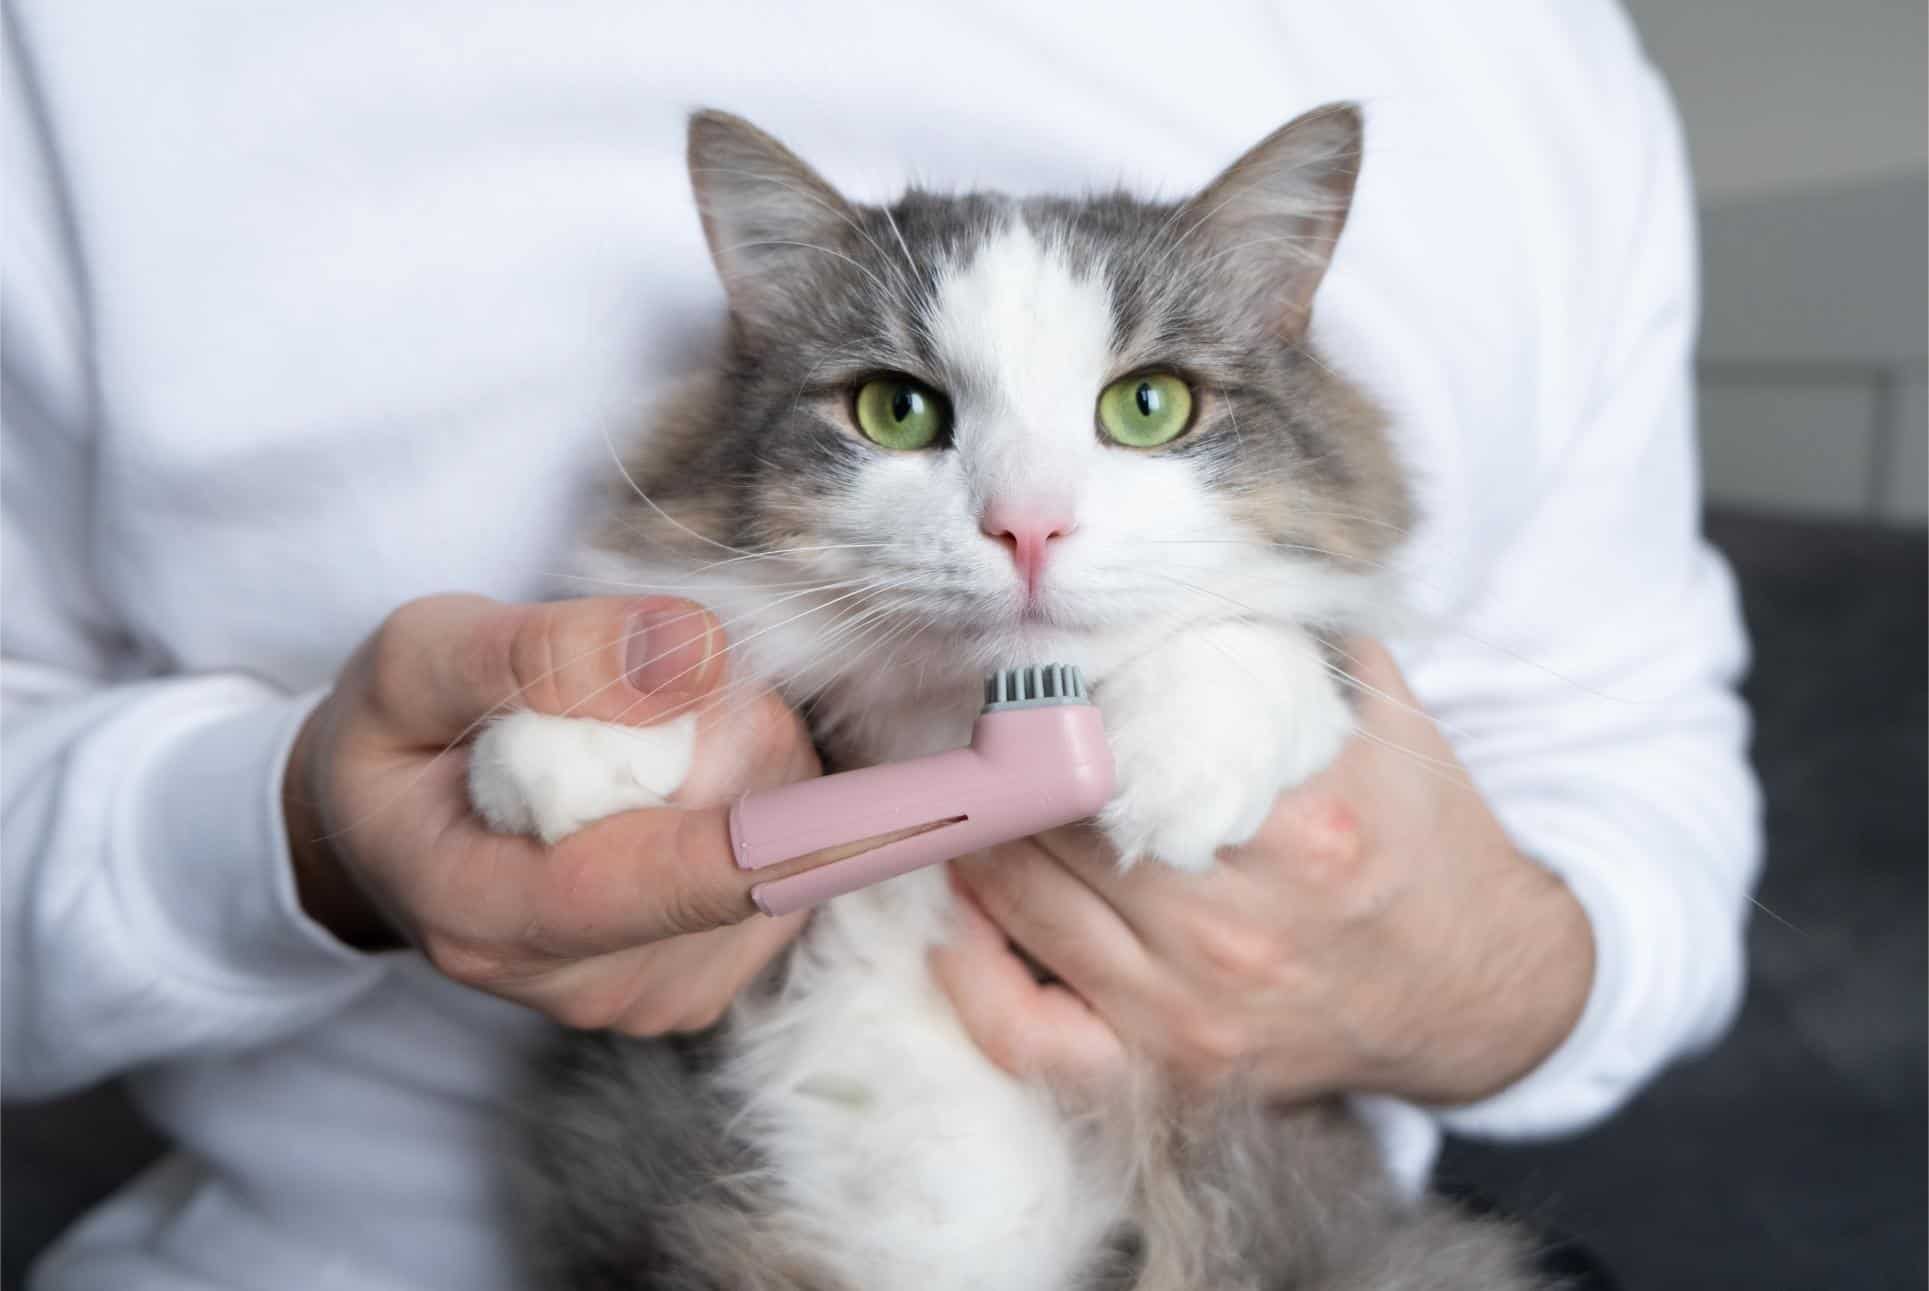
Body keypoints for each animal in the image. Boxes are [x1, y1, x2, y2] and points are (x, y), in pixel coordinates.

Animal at [466, 108, 1550, 1289]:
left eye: (1149, 405)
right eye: (896, 410)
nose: (1027, 525)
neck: (950, 718)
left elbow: (1269, 638)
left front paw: (1180, 759)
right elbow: (720, 654)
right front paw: (564, 743)